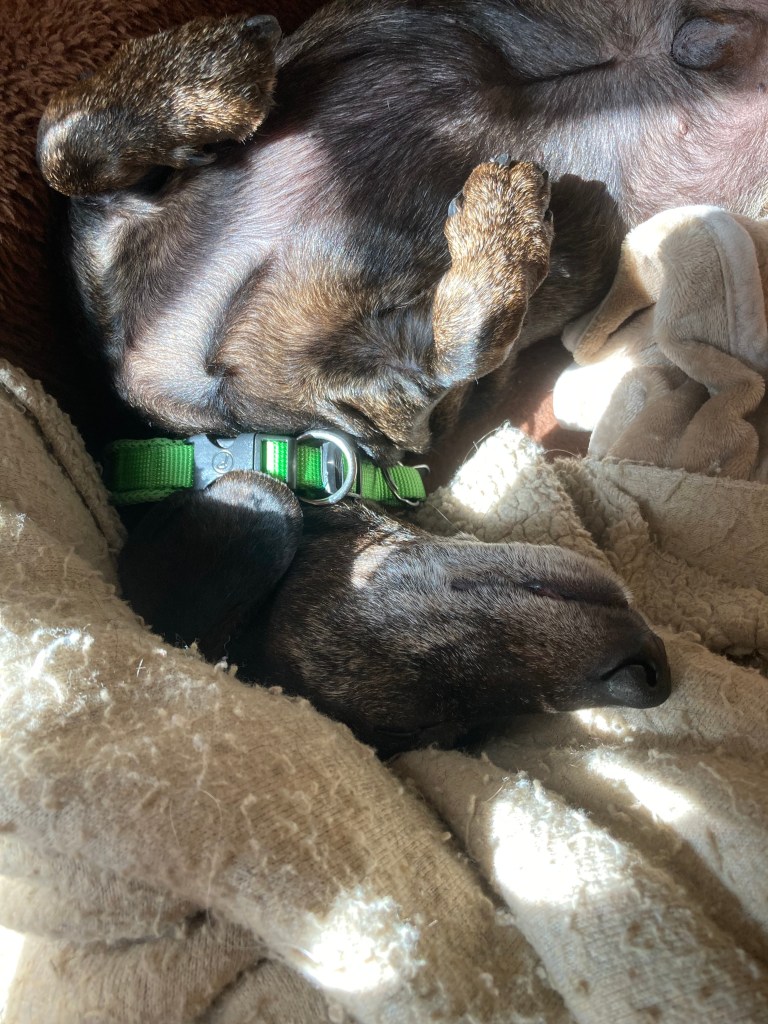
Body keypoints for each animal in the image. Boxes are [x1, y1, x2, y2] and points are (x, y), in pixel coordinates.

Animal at [37, 0, 767, 752]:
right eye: (454, 722)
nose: (652, 674)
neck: (257, 437)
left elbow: (59, 147)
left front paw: (225, 70)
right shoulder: (400, 396)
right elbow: (455, 356)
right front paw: (501, 237)